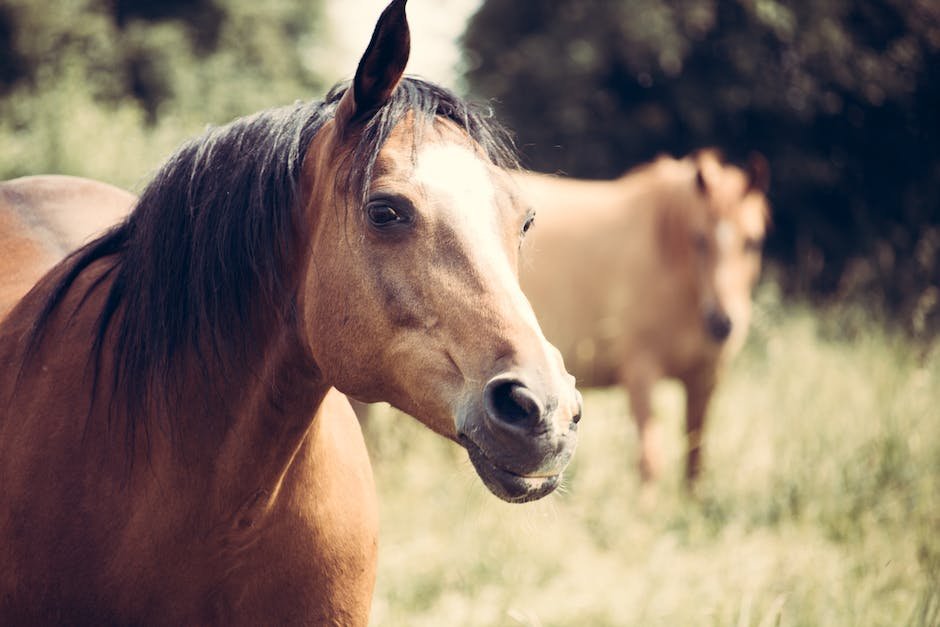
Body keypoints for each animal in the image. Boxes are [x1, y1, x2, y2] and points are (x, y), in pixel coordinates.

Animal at [516, 151, 772, 486]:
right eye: (699, 239)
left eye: (753, 242)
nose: (722, 323)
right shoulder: (640, 372)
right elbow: (650, 461)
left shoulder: (705, 377)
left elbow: (696, 458)